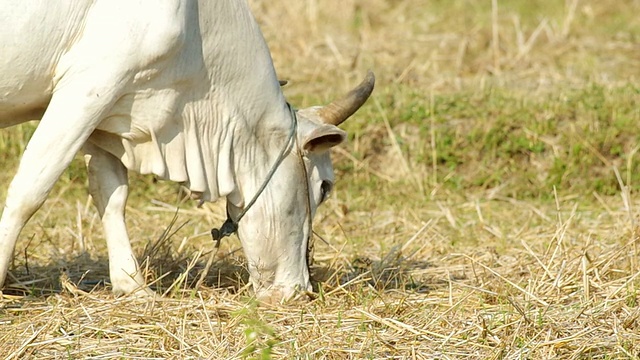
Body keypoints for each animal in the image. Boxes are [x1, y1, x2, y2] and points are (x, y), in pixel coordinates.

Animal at [0, 1, 372, 302]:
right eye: (324, 187)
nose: (302, 290)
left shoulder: (109, 110)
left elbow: (111, 193)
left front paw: (133, 285)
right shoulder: (88, 85)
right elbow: (30, 191)